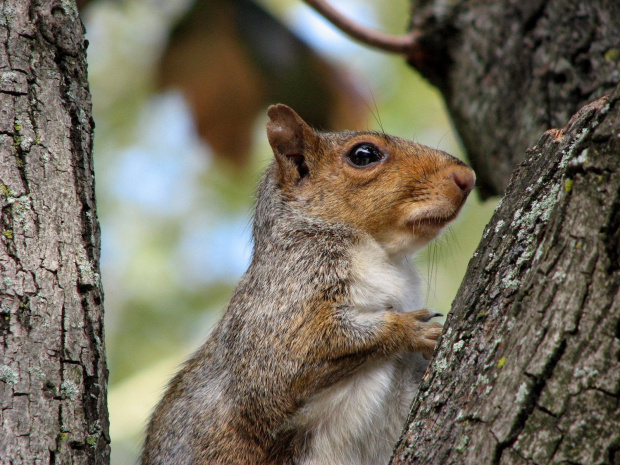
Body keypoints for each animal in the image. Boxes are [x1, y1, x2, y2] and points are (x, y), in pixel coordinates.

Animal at [143, 104, 478, 464]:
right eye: (364, 154)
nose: (466, 177)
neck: (386, 256)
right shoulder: (283, 301)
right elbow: (292, 361)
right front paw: (411, 329)